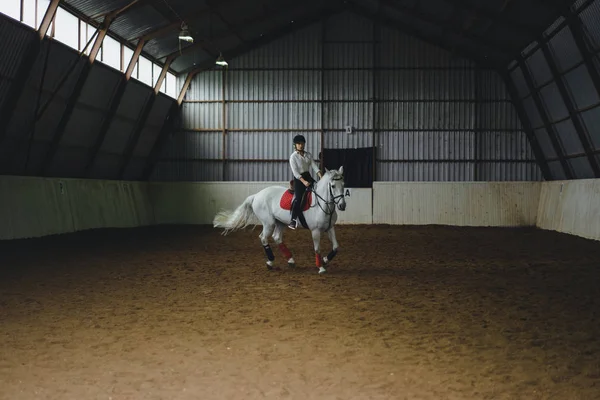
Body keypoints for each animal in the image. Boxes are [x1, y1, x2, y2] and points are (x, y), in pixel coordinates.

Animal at [214, 166, 346, 276]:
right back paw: (270, 262)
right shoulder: (315, 231)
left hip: (280, 222)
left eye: (343, 184)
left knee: (277, 237)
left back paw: (290, 260)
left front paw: (325, 260)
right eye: (333, 186)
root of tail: (257, 195)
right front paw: (321, 267)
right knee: (263, 238)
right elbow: (317, 249)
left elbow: (336, 246)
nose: (342, 205)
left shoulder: (330, 228)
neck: (322, 205)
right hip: (269, 223)